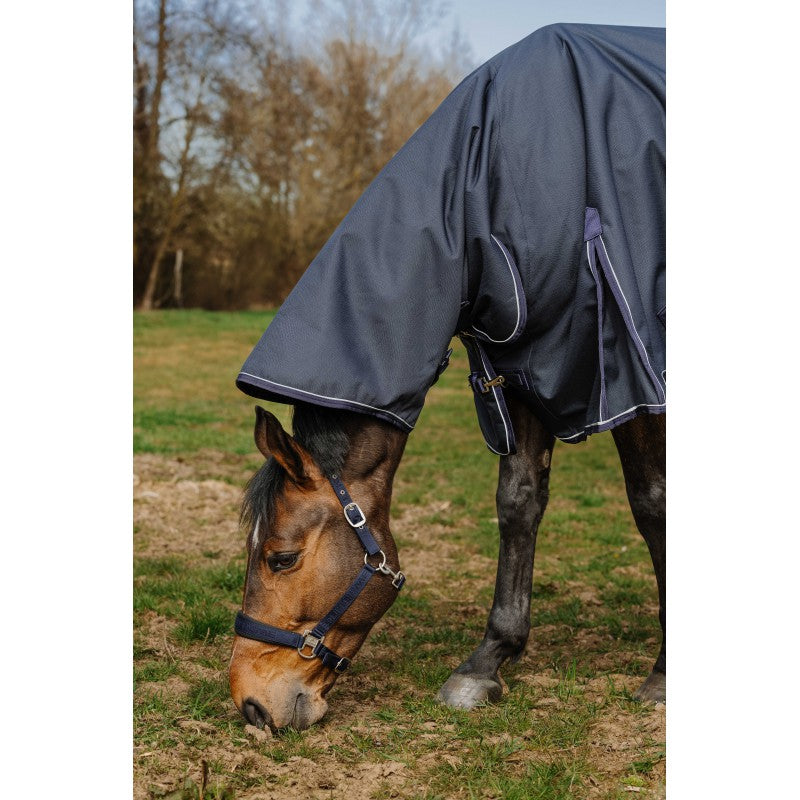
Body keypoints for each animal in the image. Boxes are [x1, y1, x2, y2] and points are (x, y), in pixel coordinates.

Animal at [228, 23, 665, 731]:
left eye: (281, 558)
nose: (251, 706)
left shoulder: (633, 370)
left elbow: (652, 502)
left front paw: (665, 673)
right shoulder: (520, 367)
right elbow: (518, 503)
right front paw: (487, 663)